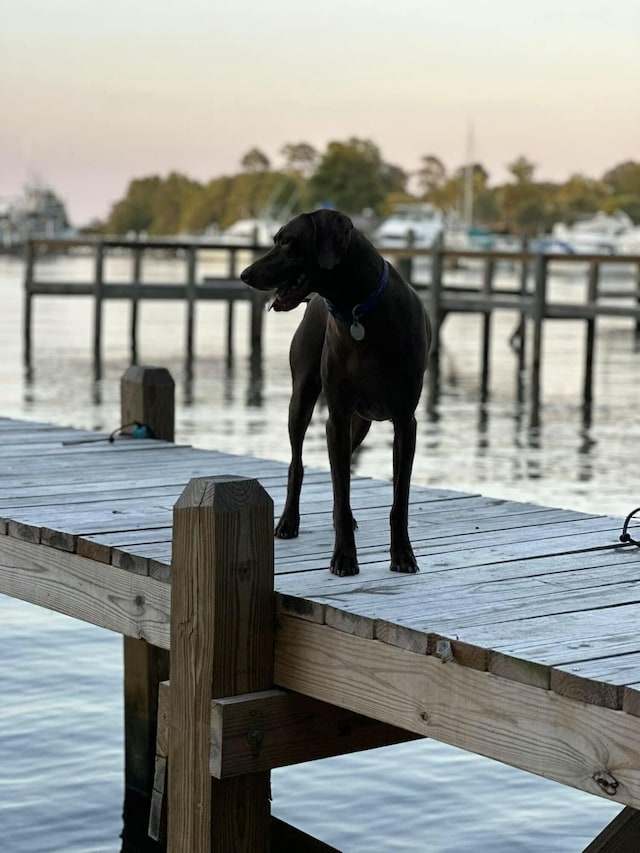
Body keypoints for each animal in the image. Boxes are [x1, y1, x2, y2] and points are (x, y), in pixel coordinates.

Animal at [240, 210, 430, 576]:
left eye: (287, 242)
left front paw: (402, 554)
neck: (358, 311)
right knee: (297, 464)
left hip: (361, 423)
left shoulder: (404, 421)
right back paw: (288, 521)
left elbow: (399, 499)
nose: (244, 274)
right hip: (302, 398)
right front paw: (344, 557)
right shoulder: (337, 418)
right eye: (275, 239)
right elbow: (341, 492)